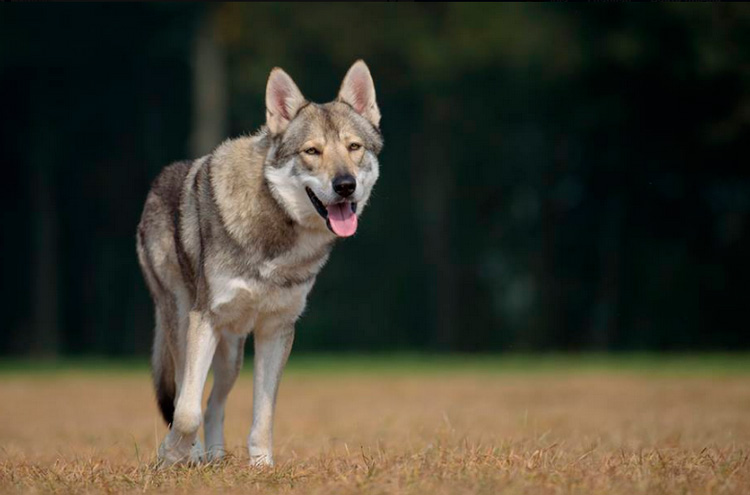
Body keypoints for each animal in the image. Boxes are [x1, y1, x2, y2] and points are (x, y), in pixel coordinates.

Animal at [136, 60, 383, 466]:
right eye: (312, 151)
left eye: (354, 147)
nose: (345, 185)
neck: (276, 230)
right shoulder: (206, 318)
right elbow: (186, 411)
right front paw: (169, 457)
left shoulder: (276, 329)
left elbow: (263, 413)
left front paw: (262, 466)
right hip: (184, 324)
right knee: (188, 396)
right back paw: (195, 454)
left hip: (232, 353)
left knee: (214, 404)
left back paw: (216, 457)